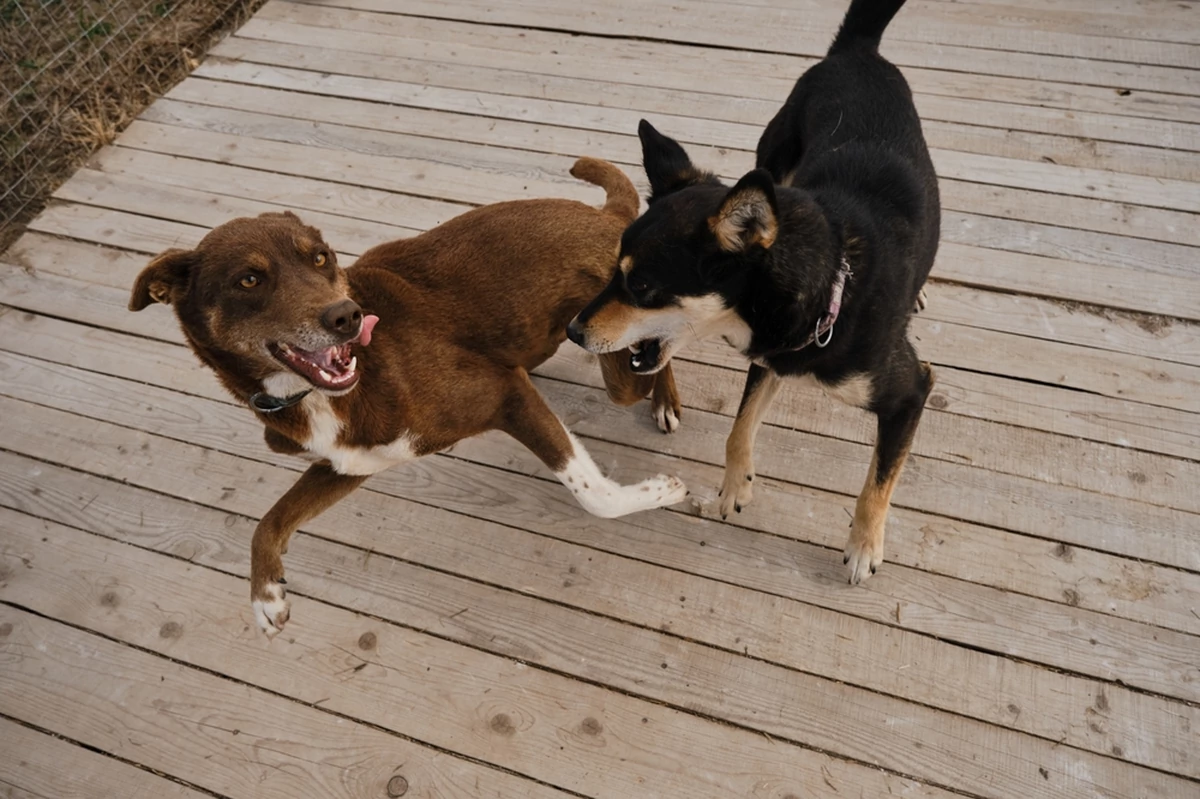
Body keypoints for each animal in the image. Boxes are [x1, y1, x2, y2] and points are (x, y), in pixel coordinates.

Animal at [129, 158, 686, 633]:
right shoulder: (352, 463)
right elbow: (270, 520)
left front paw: (659, 491)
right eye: (248, 279)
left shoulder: (503, 393)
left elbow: (594, 495)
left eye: (321, 258)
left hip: (616, 360)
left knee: (652, 356)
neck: (316, 394)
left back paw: (664, 398)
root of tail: (602, 215)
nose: (346, 316)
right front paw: (264, 596)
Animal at [566, 0, 940, 585]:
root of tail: (856, 50)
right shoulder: (769, 358)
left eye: (642, 285)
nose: (572, 331)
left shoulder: (910, 391)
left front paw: (864, 546)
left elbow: (878, 480)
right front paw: (733, 488)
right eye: (614, 271)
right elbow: (739, 428)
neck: (831, 287)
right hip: (774, 161)